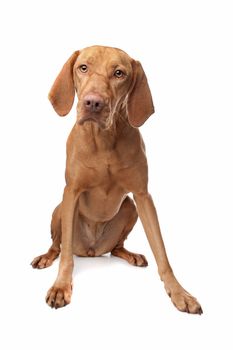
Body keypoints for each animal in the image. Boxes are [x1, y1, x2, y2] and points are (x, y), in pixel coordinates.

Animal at [31, 45, 202, 314]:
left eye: (119, 73)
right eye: (83, 67)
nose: (93, 102)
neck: (103, 140)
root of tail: (91, 251)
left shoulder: (143, 196)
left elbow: (162, 252)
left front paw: (179, 292)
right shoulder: (72, 192)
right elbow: (66, 256)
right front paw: (60, 287)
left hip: (130, 208)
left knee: (116, 248)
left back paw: (130, 255)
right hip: (59, 210)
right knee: (58, 245)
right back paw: (46, 256)